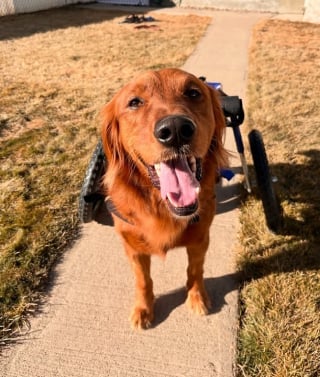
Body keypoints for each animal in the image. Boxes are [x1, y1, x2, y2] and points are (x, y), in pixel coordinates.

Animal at [100, 68, 228, 328]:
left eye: (193, 92)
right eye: (134, 102)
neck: (161, 206)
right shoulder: (132, 247)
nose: (176, 130)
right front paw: (143, 309)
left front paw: (197, 298)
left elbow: (195, 270)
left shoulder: (201, 238)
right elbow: (143, 280)